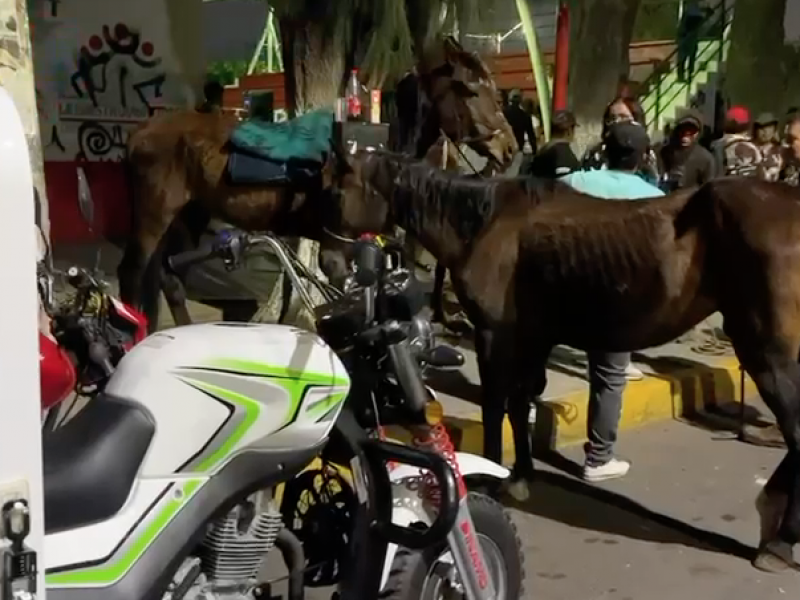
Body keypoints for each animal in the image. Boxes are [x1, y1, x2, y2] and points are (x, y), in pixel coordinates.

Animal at [120, 36, 520, 332]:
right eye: (471, 90)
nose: (510, 148)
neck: (367, 153)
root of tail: (142, 131)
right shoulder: (335, 247)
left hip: (189, 215)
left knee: (171, 278)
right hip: (154, 215)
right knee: (132, 274)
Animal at [336, 152, 800, 576]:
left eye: (338, 186)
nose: (339, 270)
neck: (485, 224)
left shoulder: (493, 335)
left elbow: (494, 405)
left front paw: (491, 479)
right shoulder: (533, 338)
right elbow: (519, 404)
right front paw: (521, 475)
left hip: (768, 352)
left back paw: (779, 541)